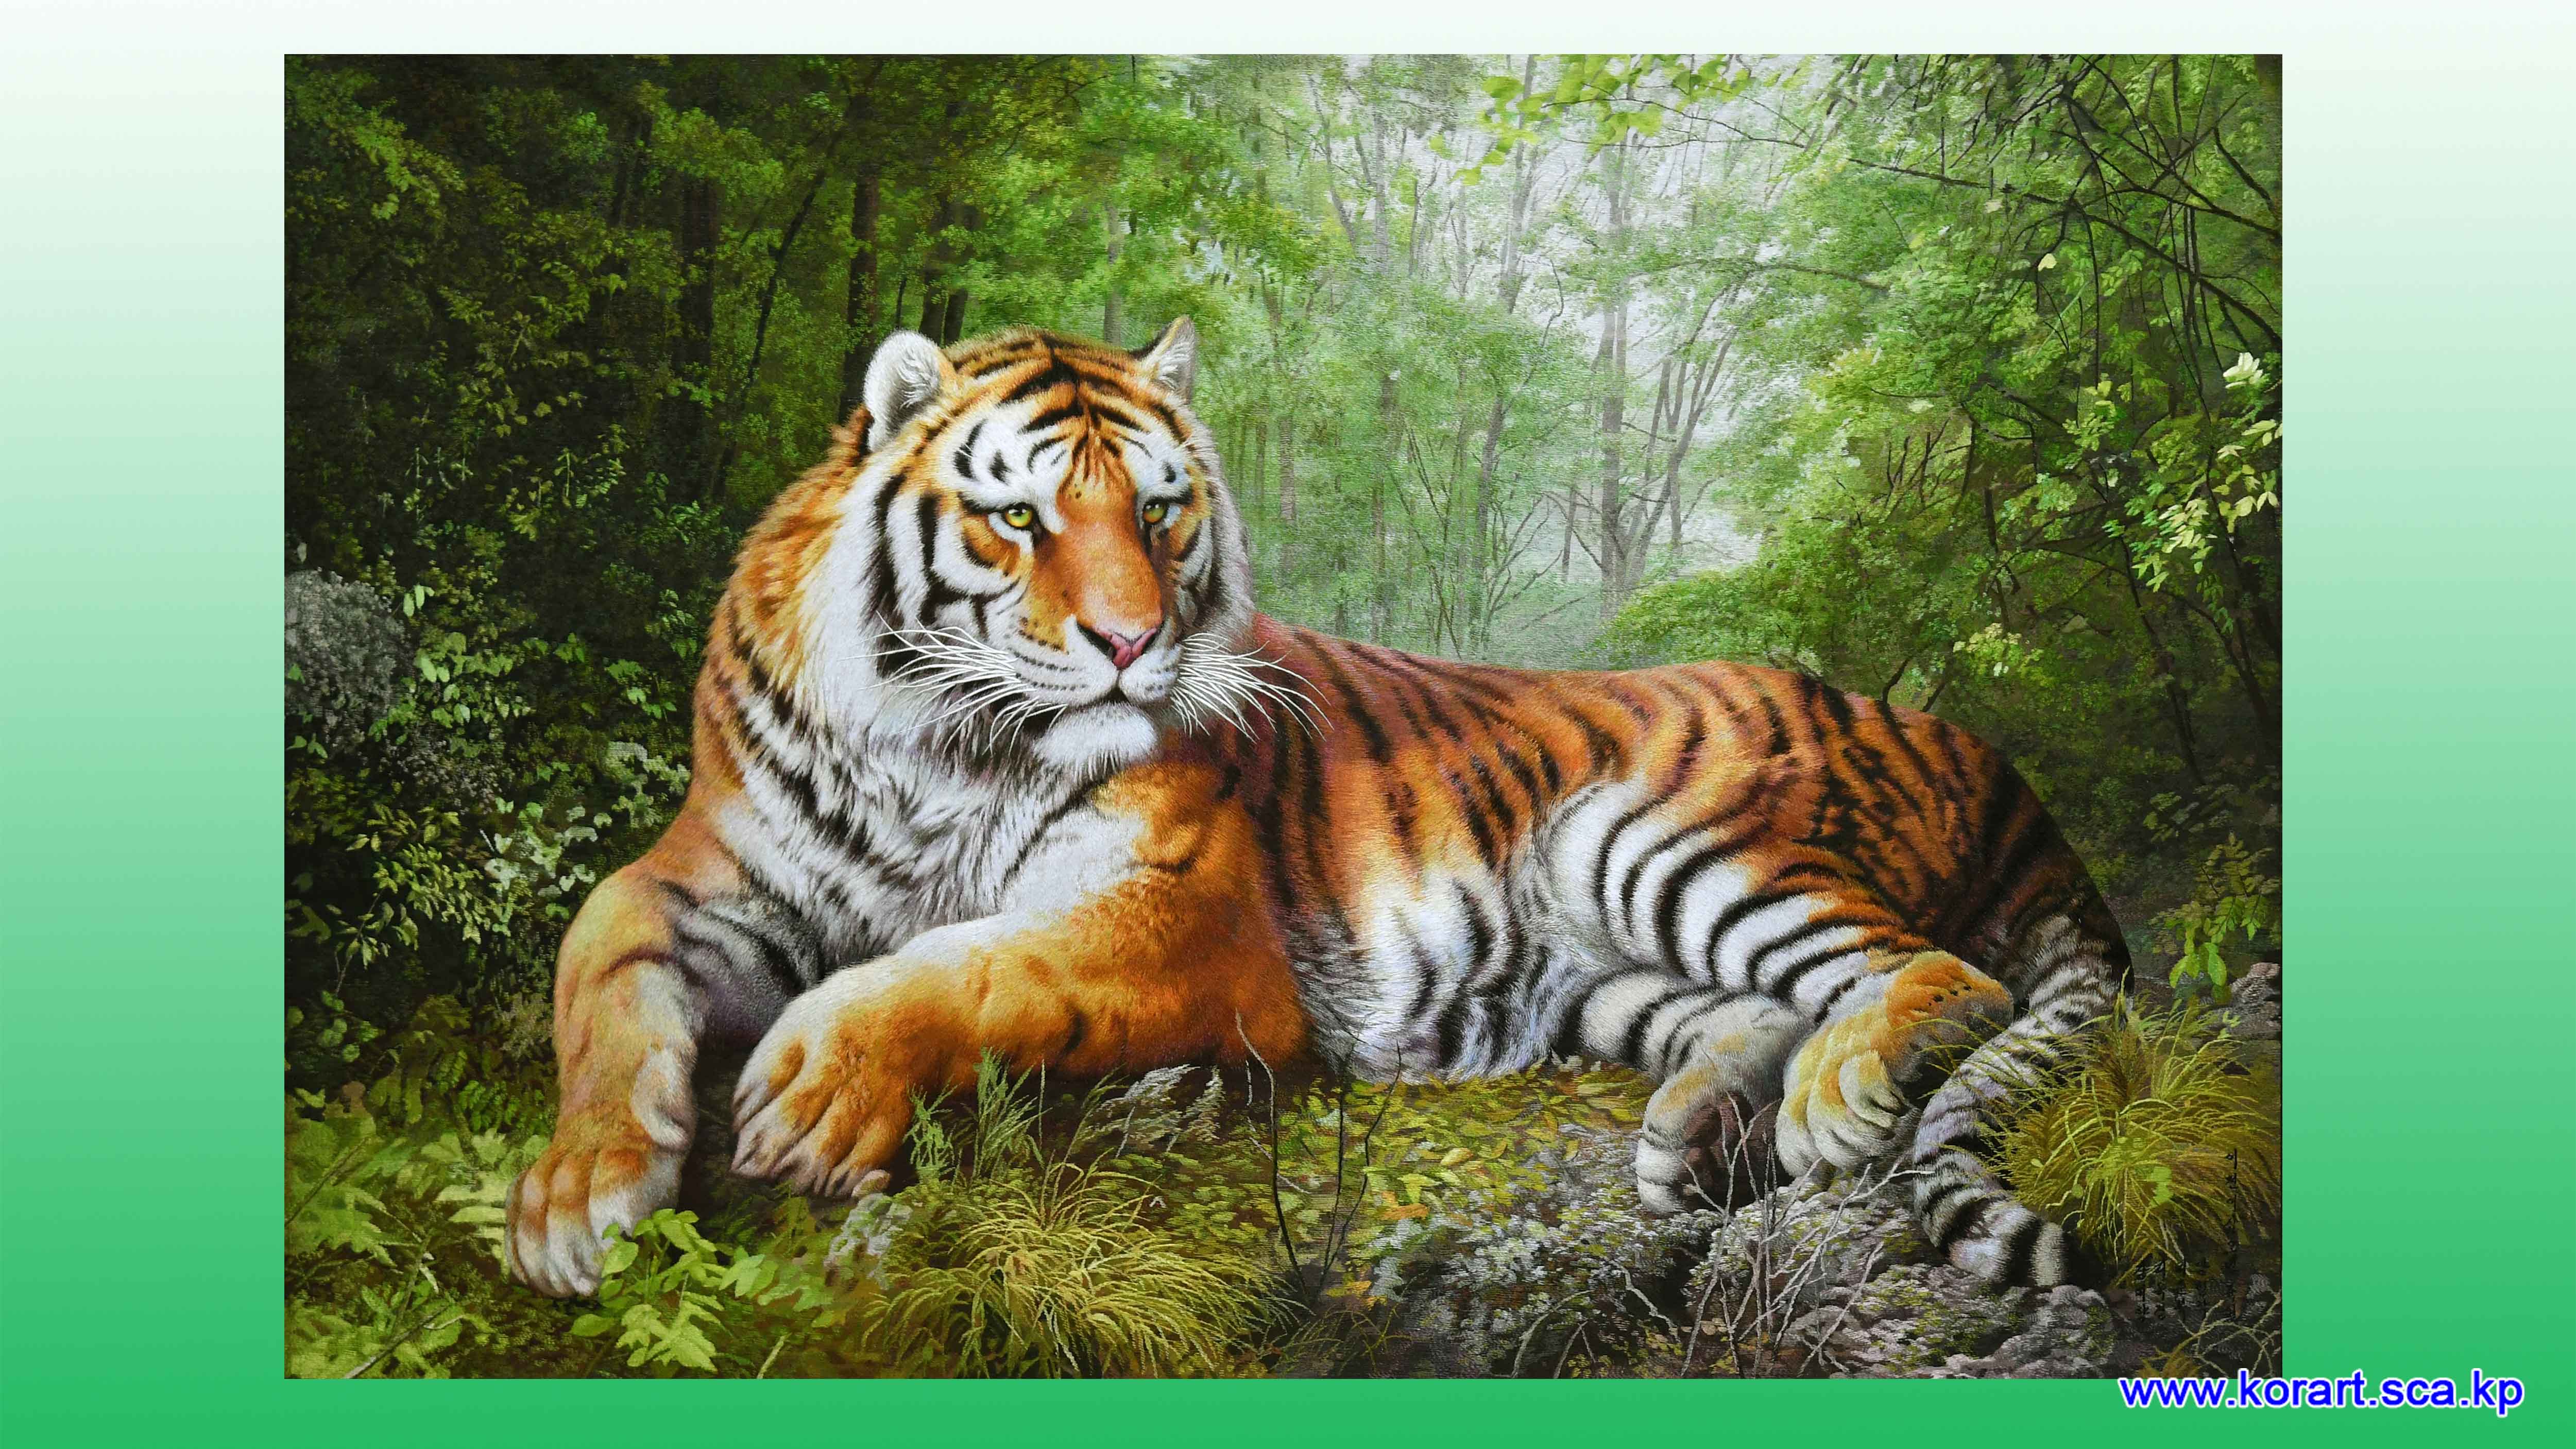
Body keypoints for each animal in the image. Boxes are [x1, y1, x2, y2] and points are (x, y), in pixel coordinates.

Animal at [504, 318, 2131, 1300]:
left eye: (1160, 508)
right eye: (1019, 515)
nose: (1129, 641)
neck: (940, 744)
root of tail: (1966, 734)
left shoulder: (1192, 913)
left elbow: (979, 960)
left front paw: (818, 1085)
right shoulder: (709, 866)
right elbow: (595, 949)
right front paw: (575, 1194)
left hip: (1641, 833)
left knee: (1945, 971)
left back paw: (1831, 1097)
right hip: (1592, 973)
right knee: (1761, 1010)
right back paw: (1689, 1127)